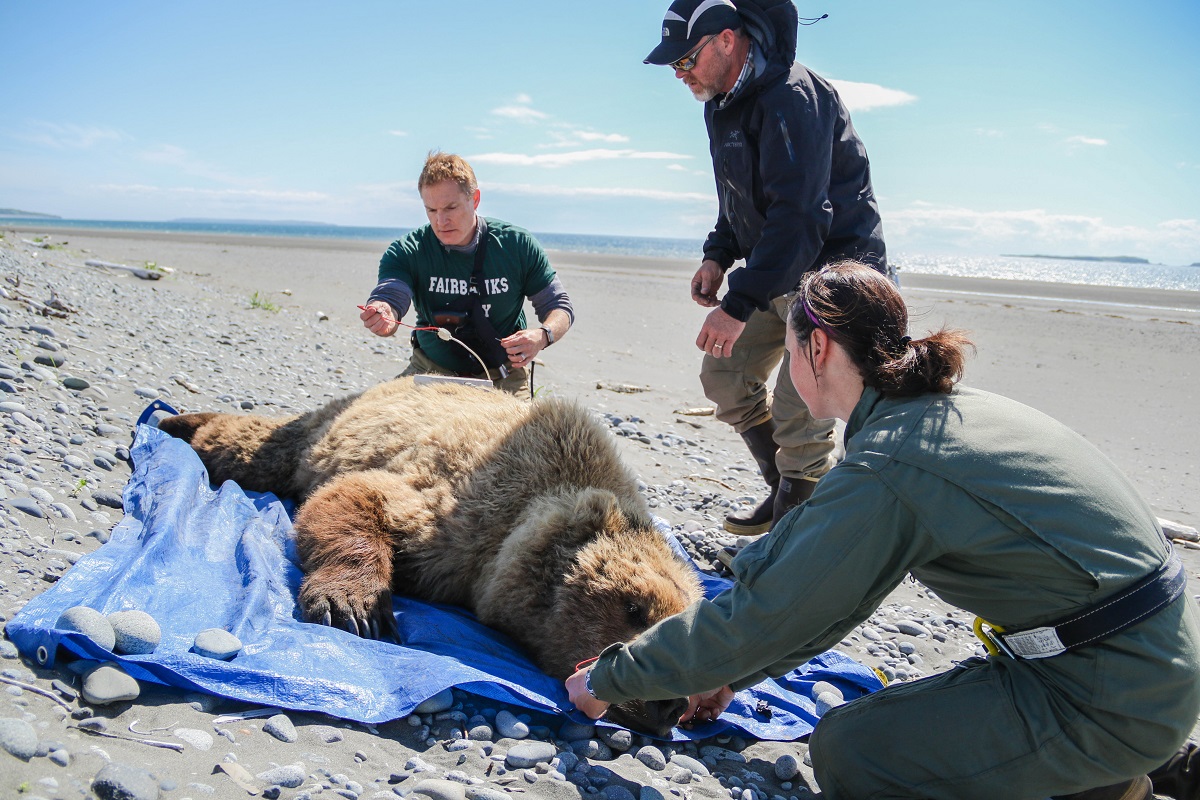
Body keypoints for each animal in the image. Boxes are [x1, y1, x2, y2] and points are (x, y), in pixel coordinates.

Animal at [159, 379, 700, 734]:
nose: (672, 705)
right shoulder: (471, 507)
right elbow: (355, 497)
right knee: (256, 449)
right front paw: (352, 606)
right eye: (634, 606)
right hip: (326, 429)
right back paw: (173, 421)